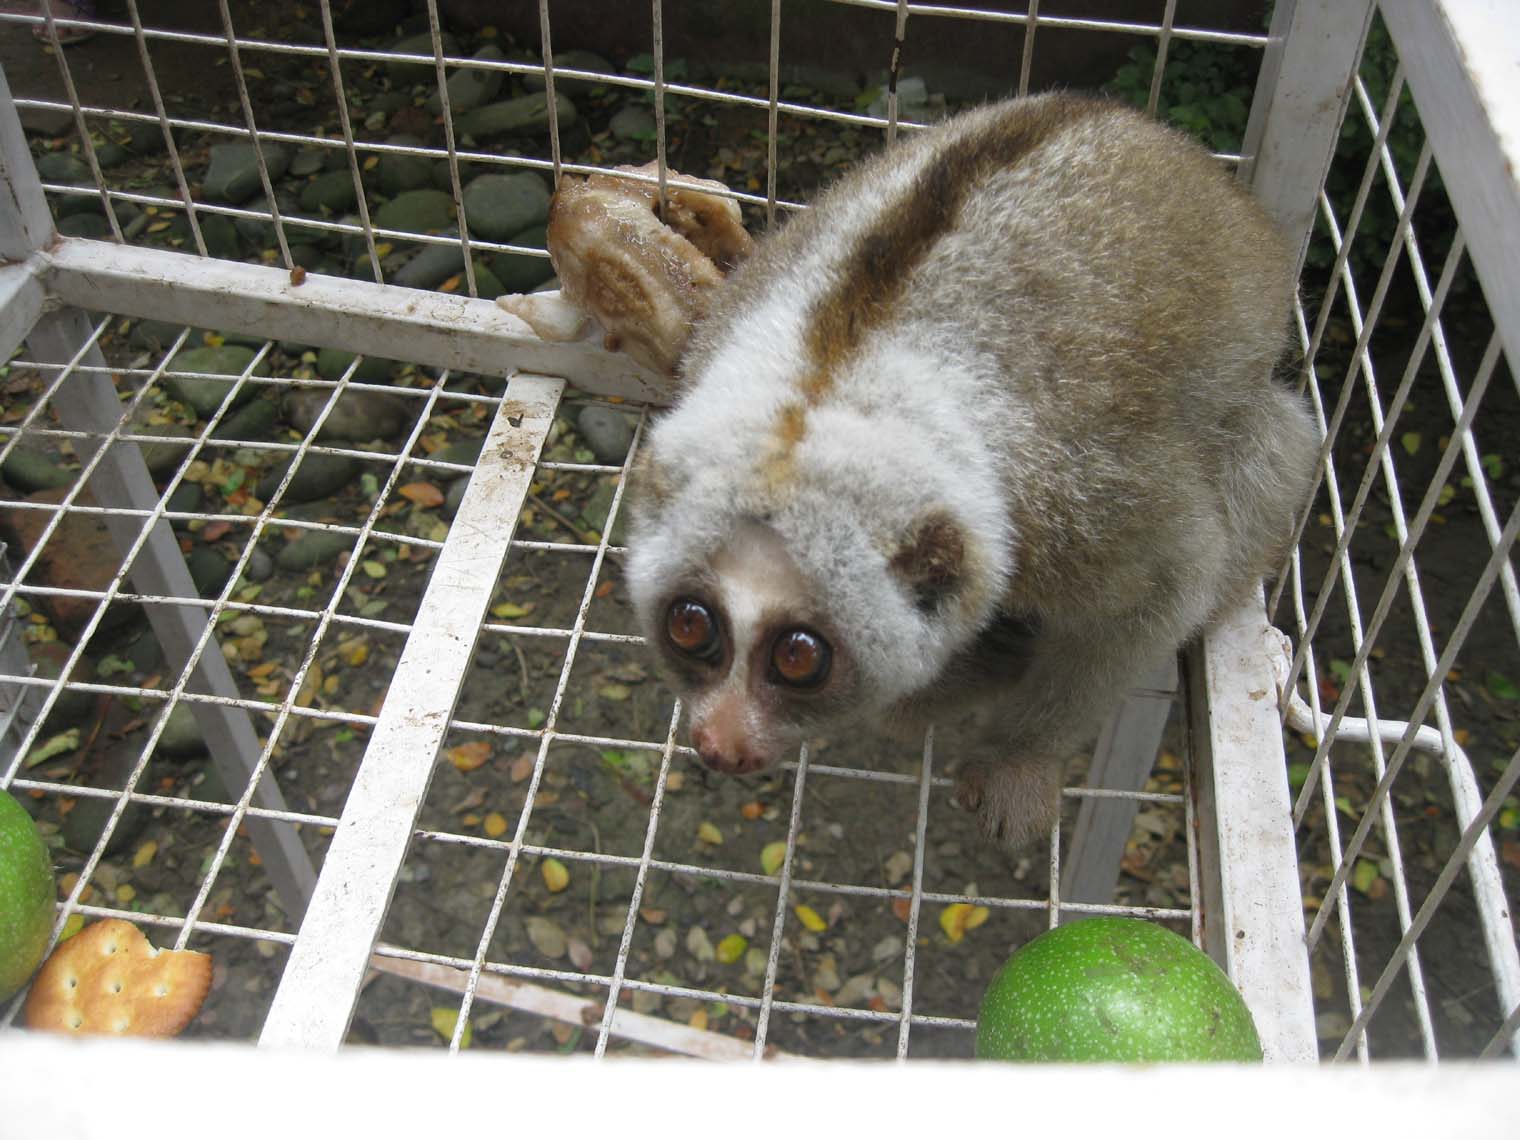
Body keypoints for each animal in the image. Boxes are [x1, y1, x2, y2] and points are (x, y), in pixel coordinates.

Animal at [622, 93, 1319, 850]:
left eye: (800, 657)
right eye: (689, 625)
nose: (720, 744)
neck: (832, 376)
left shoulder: (1077, 506)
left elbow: (1166, 587)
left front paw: (1019, 758)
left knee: (1273, 454)